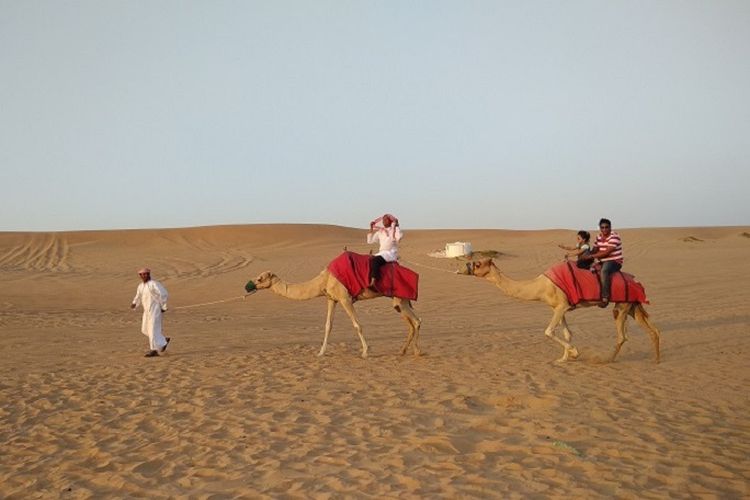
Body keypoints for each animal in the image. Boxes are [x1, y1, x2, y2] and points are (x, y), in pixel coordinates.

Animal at [248, 268, 420, 358]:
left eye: (260, 278)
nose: (248, 285)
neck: (323, 280)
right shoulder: (331, 299)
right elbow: (328, 326)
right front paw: (320, 352)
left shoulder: (345, 298)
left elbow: (357, 325)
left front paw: (365, 351)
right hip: (400, 302)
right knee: (412, 323)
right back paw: (404, 350)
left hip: (401, 299)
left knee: (416, 321)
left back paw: (417, 351)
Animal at [462, 258, 660, 364]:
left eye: (478, 264)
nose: (463, 268)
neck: (540, 286)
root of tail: (637, 282)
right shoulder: (560, 307)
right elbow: (567, 333)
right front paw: (563, 359)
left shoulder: (561, 306)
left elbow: (549, 331)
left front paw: (574, 353)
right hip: (632, 306)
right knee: (653, 330)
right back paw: (656, 359)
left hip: (622, 306)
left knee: (622, 335)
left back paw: (605, 360)